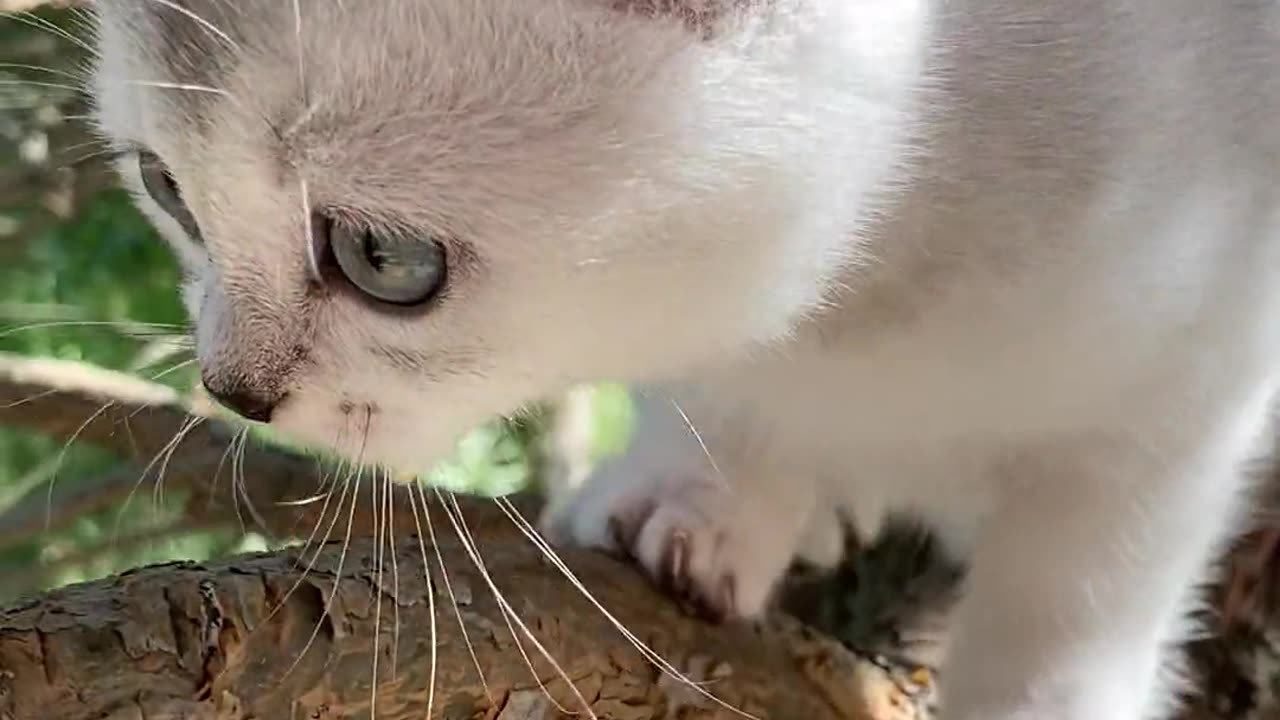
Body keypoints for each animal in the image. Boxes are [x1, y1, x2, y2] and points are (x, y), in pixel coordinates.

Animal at [87, 1, 1280, 717]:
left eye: (384, 259)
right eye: (164, 186)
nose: (234, 390)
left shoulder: (1195, 369)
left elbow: (1080, 590)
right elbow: (719, 371)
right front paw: (709, 497)